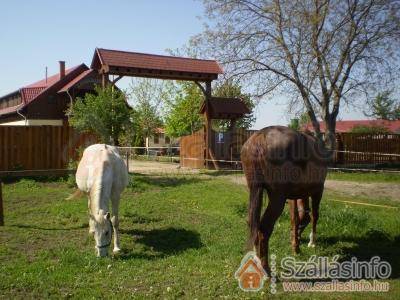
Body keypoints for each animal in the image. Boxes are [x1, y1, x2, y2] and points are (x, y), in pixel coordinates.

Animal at [241, 125, 328, 274]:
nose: (297, 236)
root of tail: (260, 136)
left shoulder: (294, 196)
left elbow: (295, 218)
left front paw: (296, 246)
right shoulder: (318, 190)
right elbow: (314, 215)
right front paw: (311, 242)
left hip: (256, 191)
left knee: (253, 223)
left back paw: (257, 260)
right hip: (278, 199)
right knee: (264, 227)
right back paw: (266, 268)